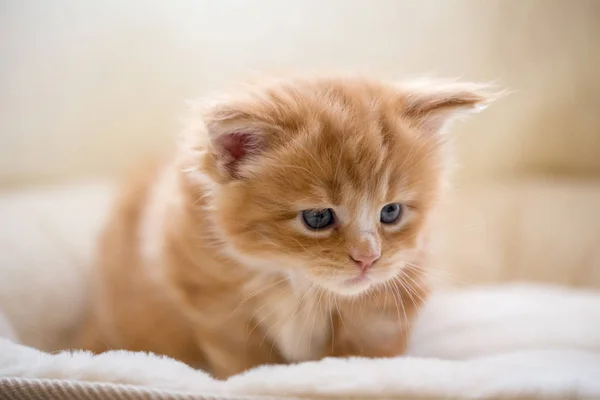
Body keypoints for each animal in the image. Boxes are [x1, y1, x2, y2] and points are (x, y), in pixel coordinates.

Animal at [79, 75, 492, 378]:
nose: (368, 258)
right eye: (318, 218)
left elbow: (361, 356)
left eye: (390, 212)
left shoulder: (387, 301)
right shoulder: (214, 304)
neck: (298, 285)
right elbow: (246, 362)